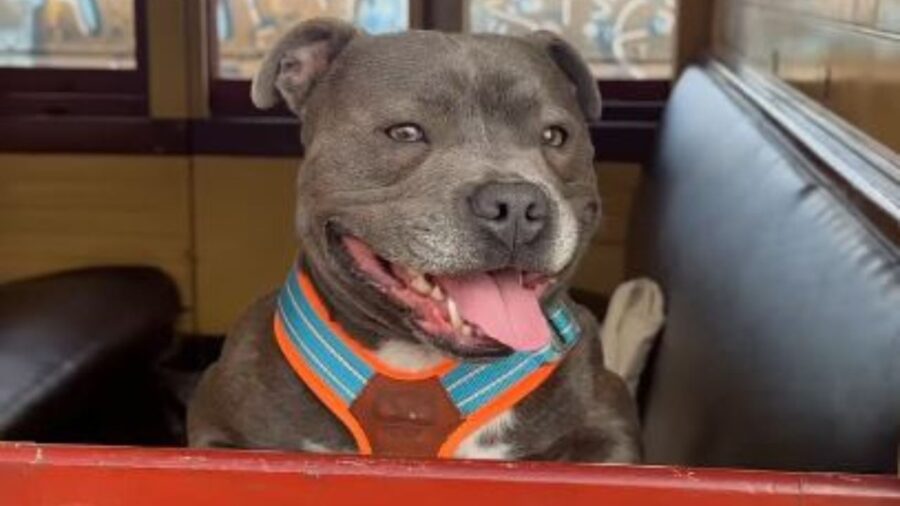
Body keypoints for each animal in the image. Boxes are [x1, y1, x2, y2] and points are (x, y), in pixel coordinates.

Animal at [186, 19, 644, 462]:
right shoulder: (220, 432)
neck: (413, 368)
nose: (515, 204)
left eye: (554, 136)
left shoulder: (609, 429)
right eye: (404, 132)